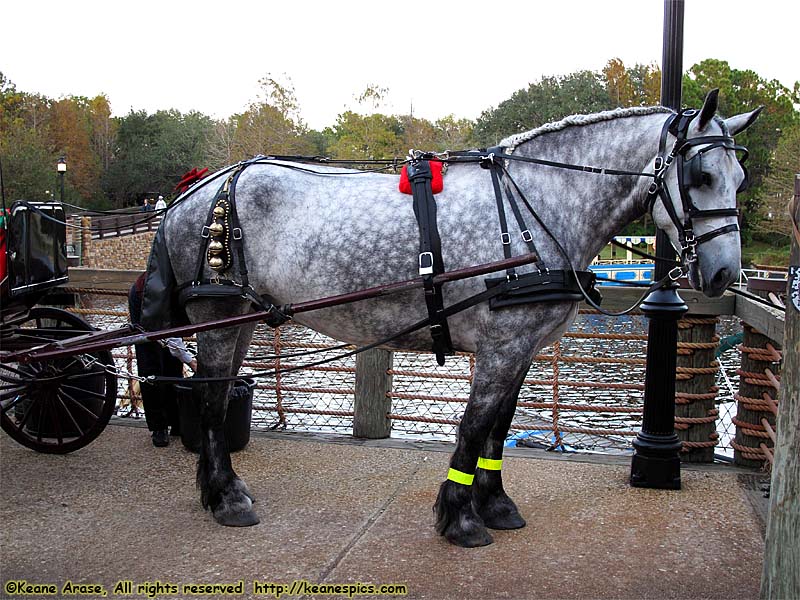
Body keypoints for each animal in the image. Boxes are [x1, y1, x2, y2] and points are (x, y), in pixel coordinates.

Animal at [148, 88, 764, 544]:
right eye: (700, 176)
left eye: (739, 179)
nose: (723, 273)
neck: (532, 207)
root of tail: (192, 194)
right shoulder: (501, 344)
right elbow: (473, 425)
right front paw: (461, 517)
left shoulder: (520, 347)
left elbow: (500, 425)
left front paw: (495, 503)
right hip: (218, 312)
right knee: (210, 402)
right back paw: (226, 497)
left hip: (241, 317)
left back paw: (216, 489)